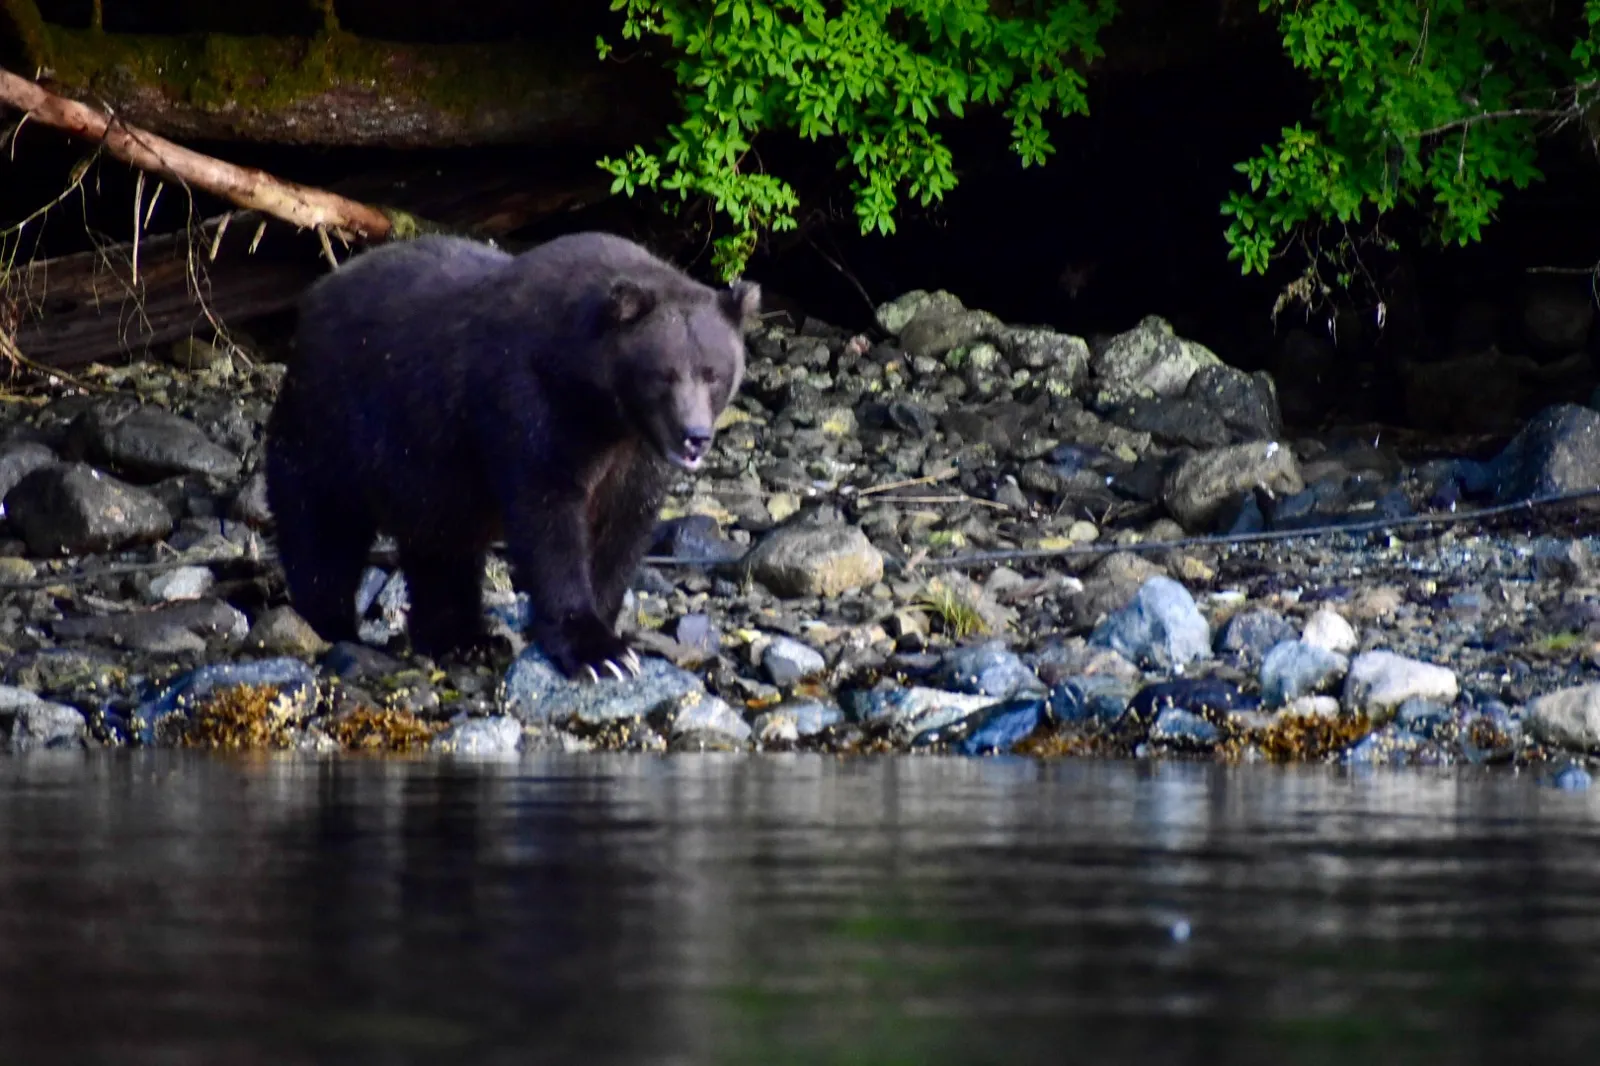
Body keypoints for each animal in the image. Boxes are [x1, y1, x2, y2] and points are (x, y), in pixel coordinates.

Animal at [263, 231, 758, 681]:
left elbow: (623, 525)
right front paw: (596, 651)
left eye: (714, 373)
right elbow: (548, 518)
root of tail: (314, 299)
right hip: (335, 423)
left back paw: (463, 638)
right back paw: (332, 625)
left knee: (441, 547)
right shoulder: (527, 404)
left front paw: (607, 627)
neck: (597, 403)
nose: (693, 436)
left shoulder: (634, 453)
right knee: (322, 529)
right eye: (664, 374)